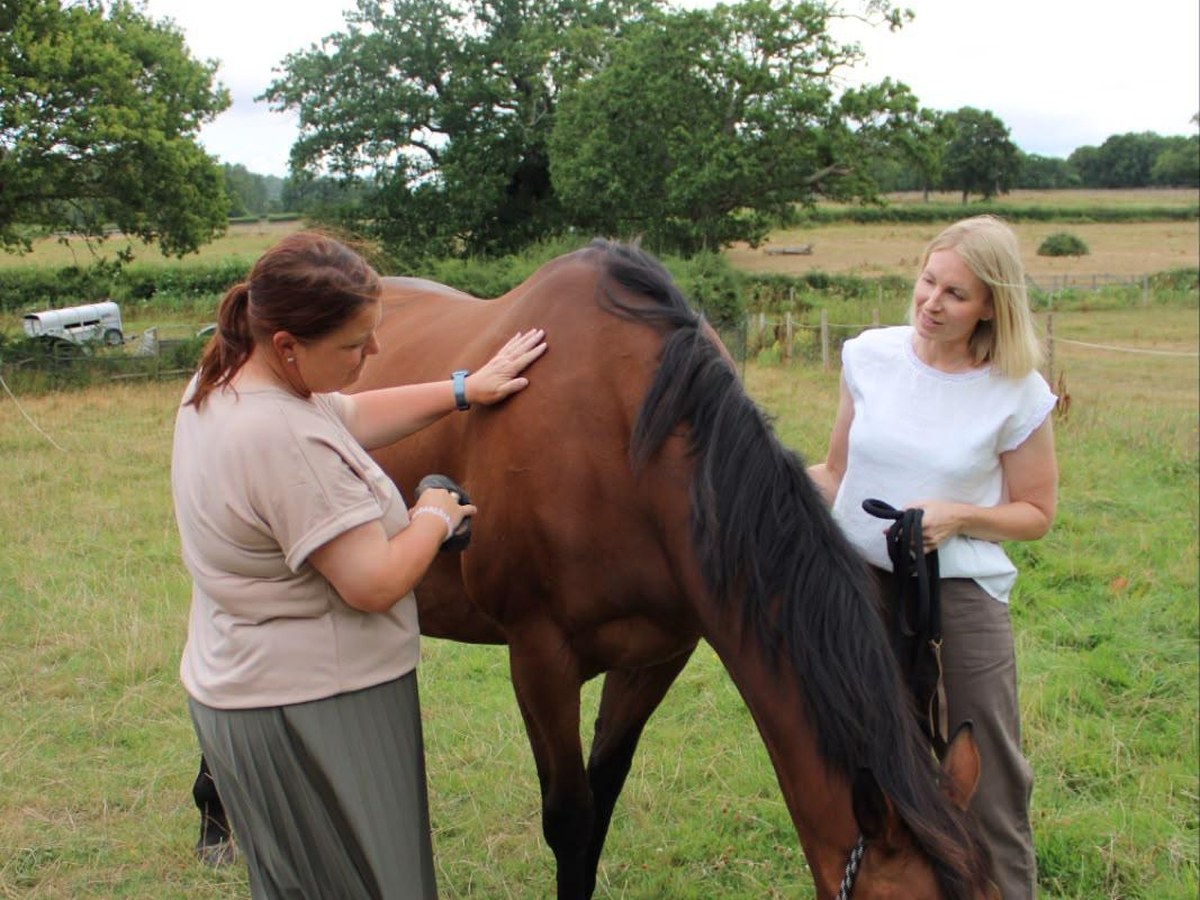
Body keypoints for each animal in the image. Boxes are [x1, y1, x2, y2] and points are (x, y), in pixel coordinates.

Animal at [193, 239, 994, 899]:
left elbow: (602, 799)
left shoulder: (657, 655)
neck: (625, 444)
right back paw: (214, 823)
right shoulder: (539, 657)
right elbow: (570, 819)